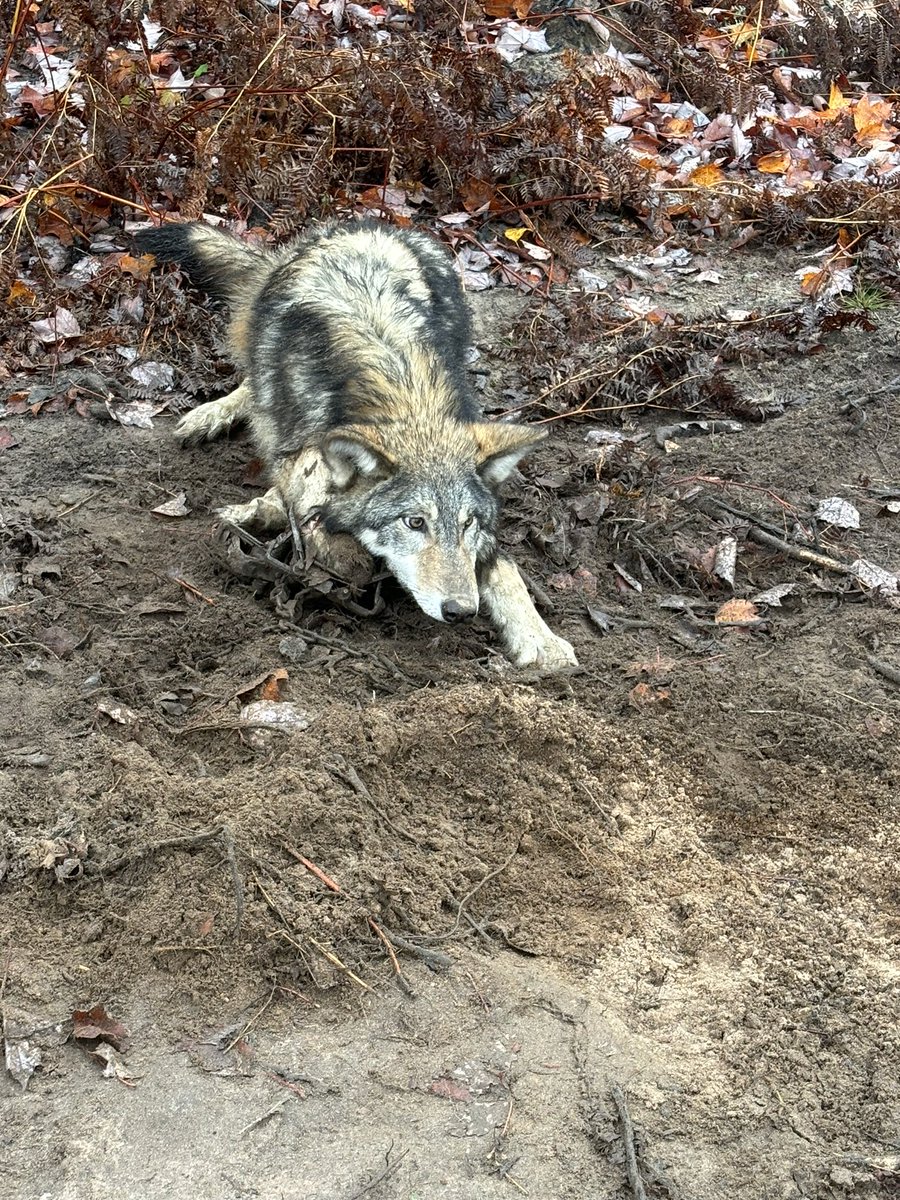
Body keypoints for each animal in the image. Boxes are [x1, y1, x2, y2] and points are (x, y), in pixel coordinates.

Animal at [134, 219, 577, 670]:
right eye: (414, 522)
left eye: (468, 523)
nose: (461, 611)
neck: (404, 387)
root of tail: (359, 224)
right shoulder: (302, 447)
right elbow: (308, 496)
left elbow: (505, 568)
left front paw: (540, 638)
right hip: (263, 355)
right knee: (255, 388)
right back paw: (217, 422)